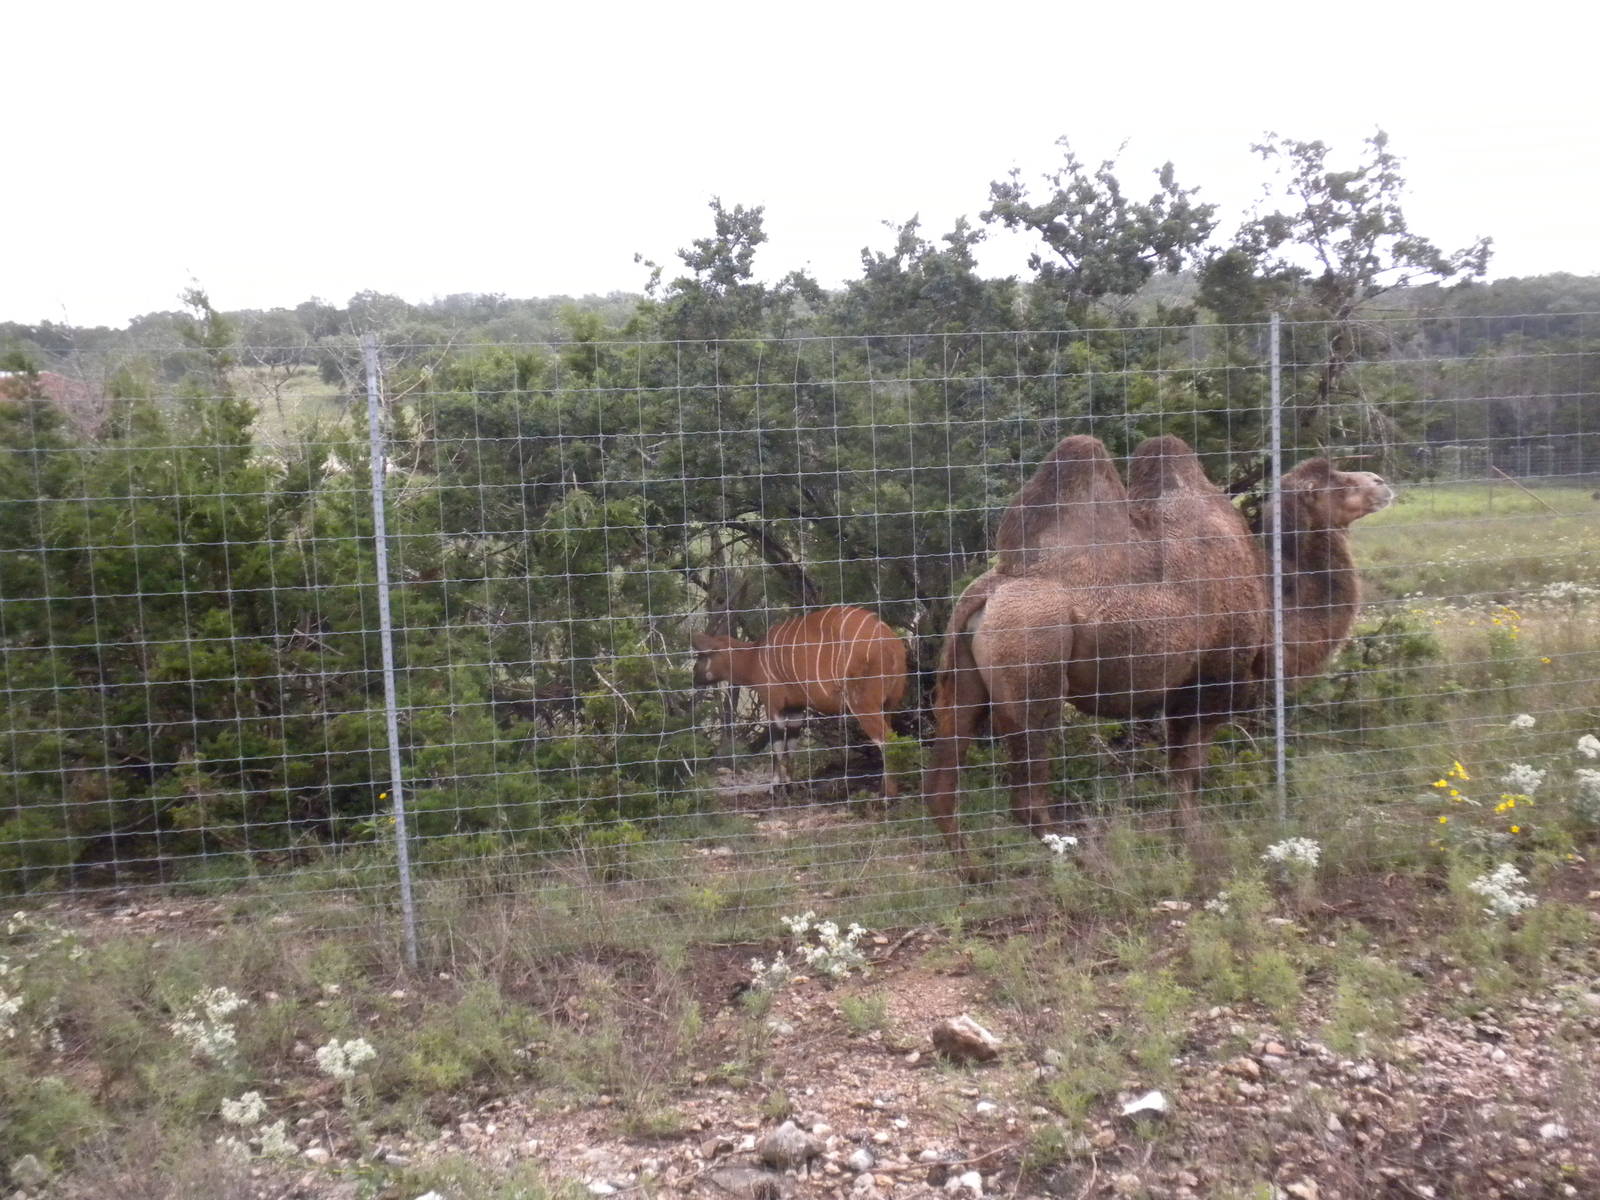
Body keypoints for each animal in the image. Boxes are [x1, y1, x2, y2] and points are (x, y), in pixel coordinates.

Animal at [692, 605, 909, 803]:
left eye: (702, 656)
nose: (694, 677)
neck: (753, 657)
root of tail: (892, 643)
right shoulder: (795, 709)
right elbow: (791, 746)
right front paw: (790, 787)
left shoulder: (773, 705)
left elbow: (777, 747)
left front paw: (775, 790)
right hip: (888, 704)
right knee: (893, 738)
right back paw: (884, 791)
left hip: (862, 704)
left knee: (886, 741)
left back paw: (886, 797)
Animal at [924, 434, 1391, 870]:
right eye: (1335, 482)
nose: (1381, 482)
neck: (1268, 597)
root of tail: (989, 590)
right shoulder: (1211, 682)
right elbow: (1188, 770)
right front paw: (1194, 845)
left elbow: (1178, 768)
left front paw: (1180, 841)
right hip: (1033, 661)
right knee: (1026, 790)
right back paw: (1086, 861)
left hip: (962, 677)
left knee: (944, 779)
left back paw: (973, 872)